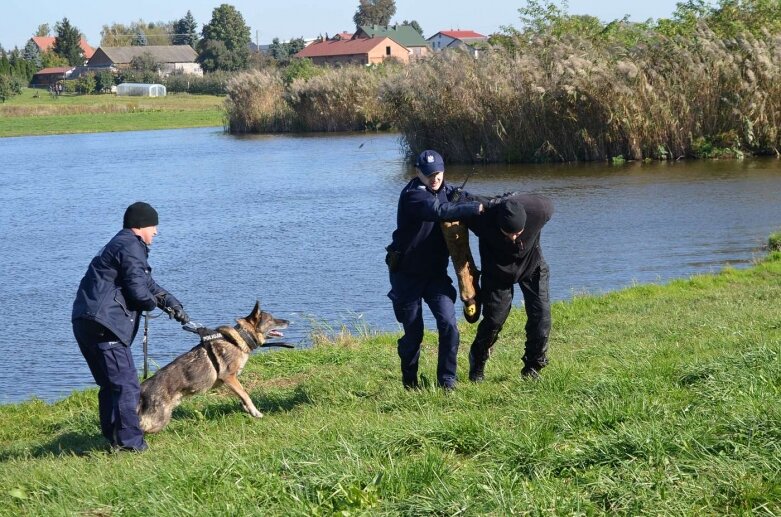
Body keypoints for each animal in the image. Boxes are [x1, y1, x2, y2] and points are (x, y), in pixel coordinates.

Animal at [138, 300, 290, 434]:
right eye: (271, 319)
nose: (288, 321)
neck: (241, 338)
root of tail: (143, 388)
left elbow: (241, 395)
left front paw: (247, 409)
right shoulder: (229, 377)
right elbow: (245, 394)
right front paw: (255, 412)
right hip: (158, 419)